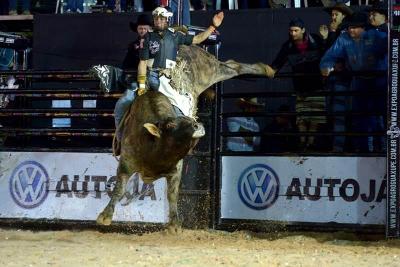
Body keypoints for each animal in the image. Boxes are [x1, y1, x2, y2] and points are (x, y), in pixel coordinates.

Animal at [97, 44, 270, 232]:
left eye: (186, 119)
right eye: (171, 126)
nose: (197, 125)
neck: (153, 146)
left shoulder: (176, 169)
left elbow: (172, 194)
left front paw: (174, 224)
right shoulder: (126, 163)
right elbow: (119, 189)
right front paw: (105, 216)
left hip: (208, 69)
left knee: (232, 67)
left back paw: (265, 69)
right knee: (231, 65)